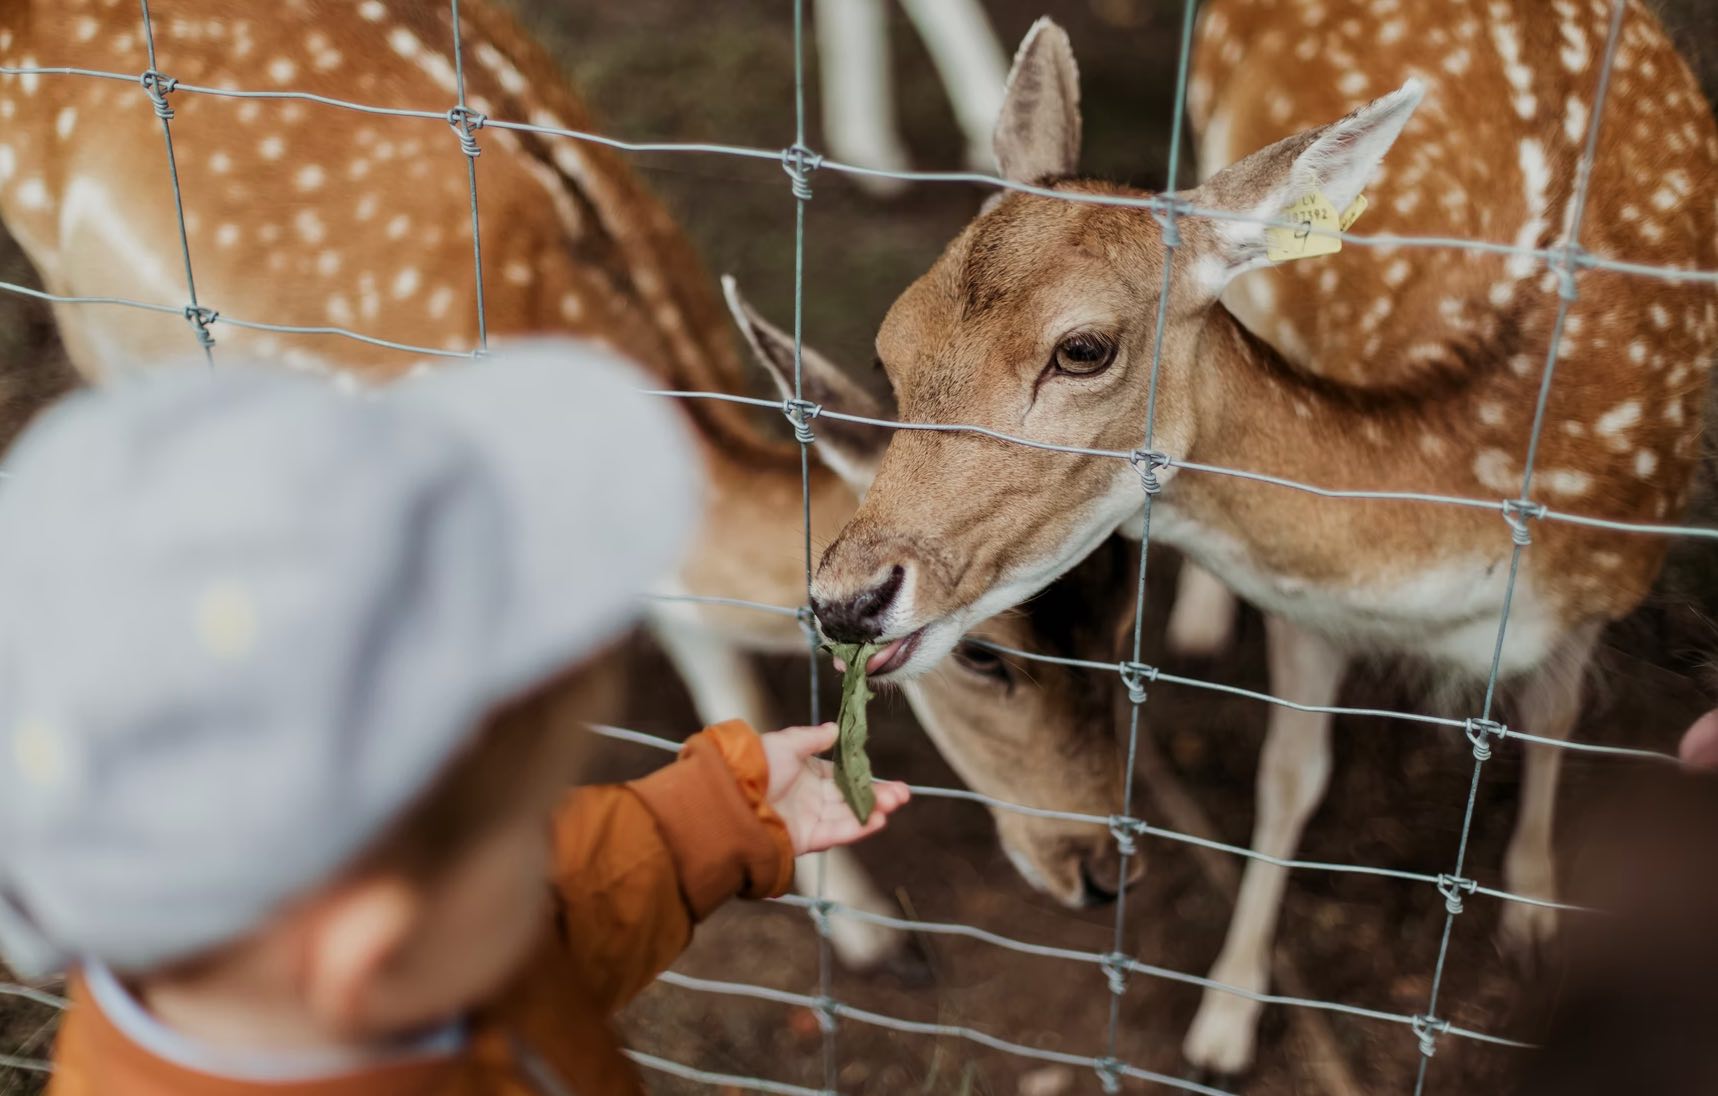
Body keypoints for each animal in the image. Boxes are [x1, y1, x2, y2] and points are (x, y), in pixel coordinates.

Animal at [0, 0, 1154, 975]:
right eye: (988, 657)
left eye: (1122, 599)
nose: (1100, 872)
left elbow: (719, 678)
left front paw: (862, 926)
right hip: (83, 301)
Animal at [790, 0, 1718, 1078]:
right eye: (887, 348)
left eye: (1082, 348)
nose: (845, 597)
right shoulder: (1307, 600)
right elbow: (1290, 776)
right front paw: (1225, 1019)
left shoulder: (1612, 574)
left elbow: (1555, 711)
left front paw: (1532, 917)